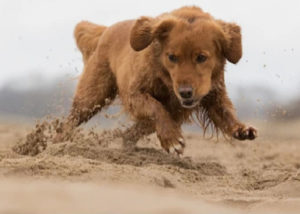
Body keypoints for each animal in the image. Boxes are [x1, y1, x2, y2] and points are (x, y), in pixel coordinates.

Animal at [56, 6, 258, 154]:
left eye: (201, 57)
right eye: (172, 57)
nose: (185, 93)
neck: (166, 81)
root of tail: (107, 30)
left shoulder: (212, 94)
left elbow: (226, 112)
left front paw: (241, 129)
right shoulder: (135, 93)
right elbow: (156, 108)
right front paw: (172, 140)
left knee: (132, 132)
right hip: (93, 96)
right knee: (71, 119)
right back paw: (58, 143)